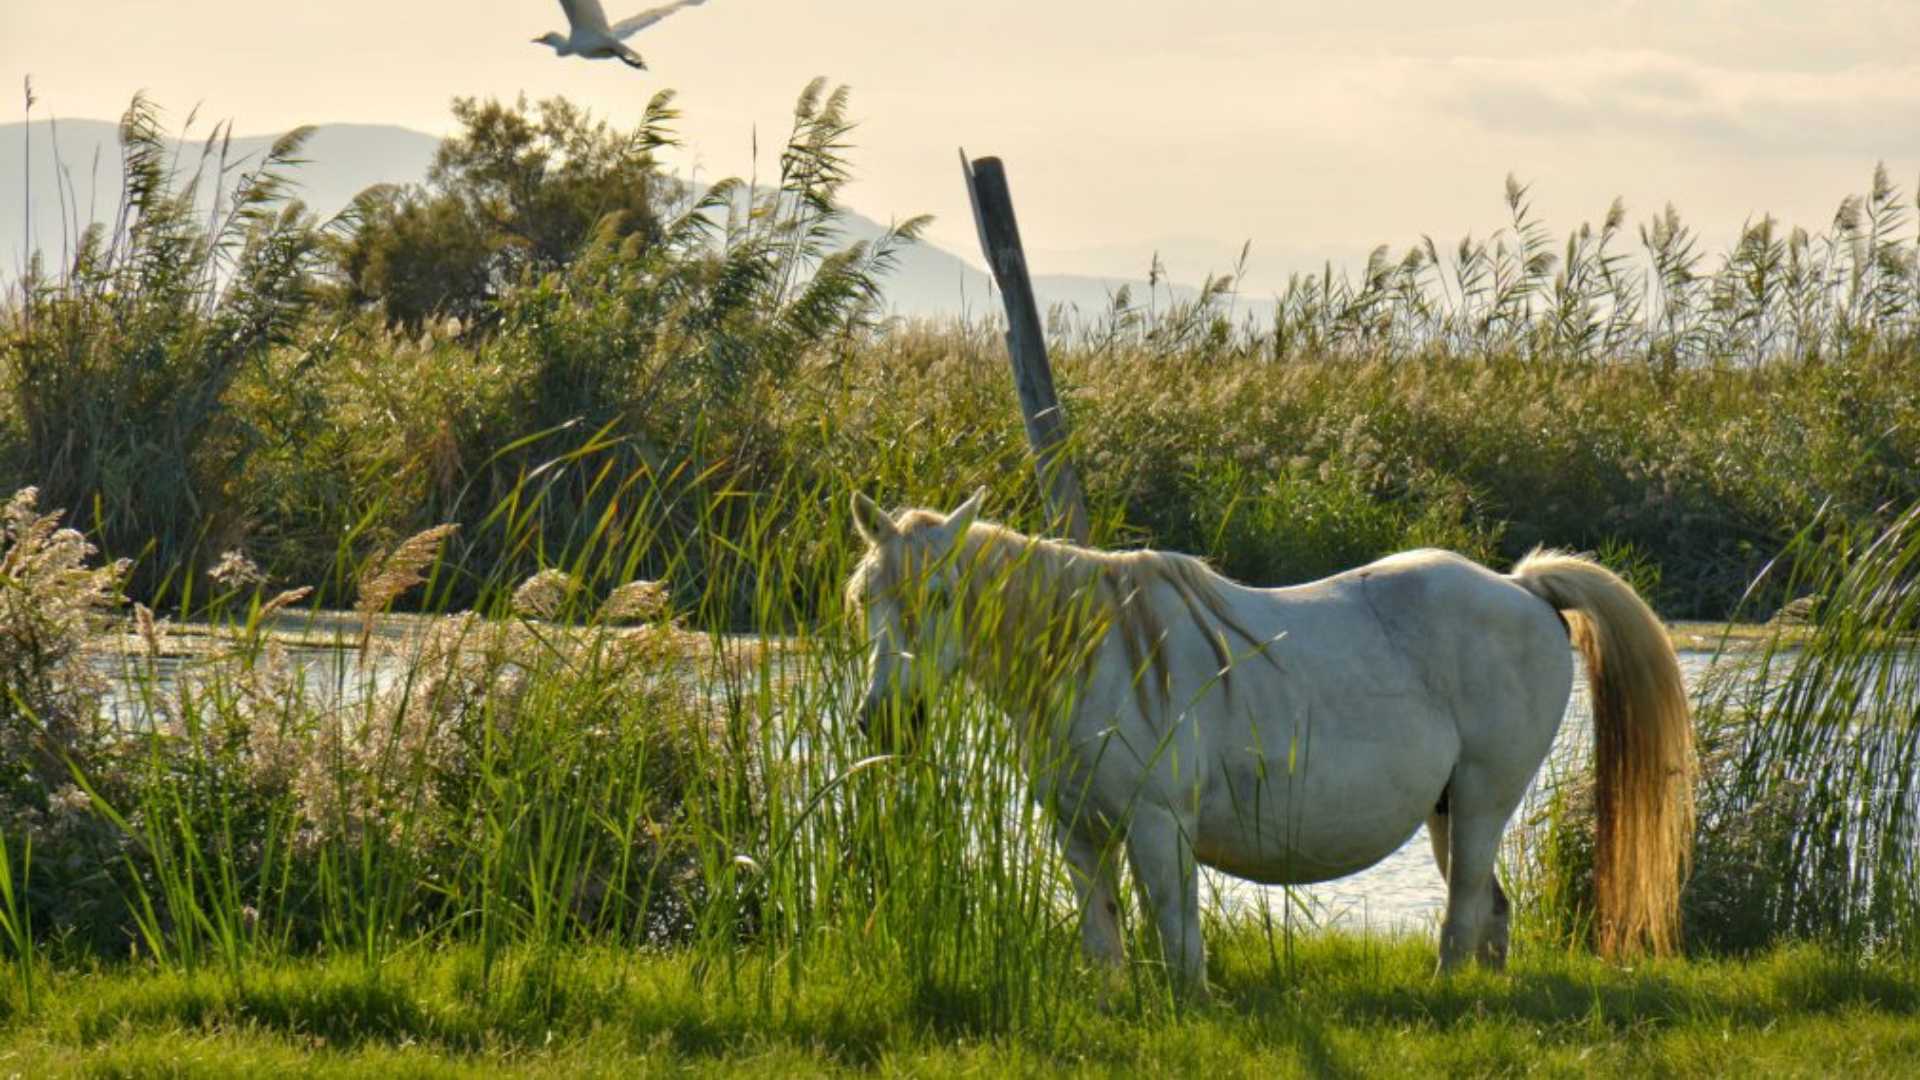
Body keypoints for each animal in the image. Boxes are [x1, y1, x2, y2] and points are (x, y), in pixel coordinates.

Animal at [848, 488, 1689, 983]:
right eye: (864, 598)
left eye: (944, 594)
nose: (885, 719)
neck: (1102, 658)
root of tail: (1522, 588)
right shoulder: (1080, 834)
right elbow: (1104, 941)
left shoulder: (1158, 826)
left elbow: (1179, 941)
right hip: (1447, 810)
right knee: (1490, 911)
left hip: (1484, 801)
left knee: (1459, 921)